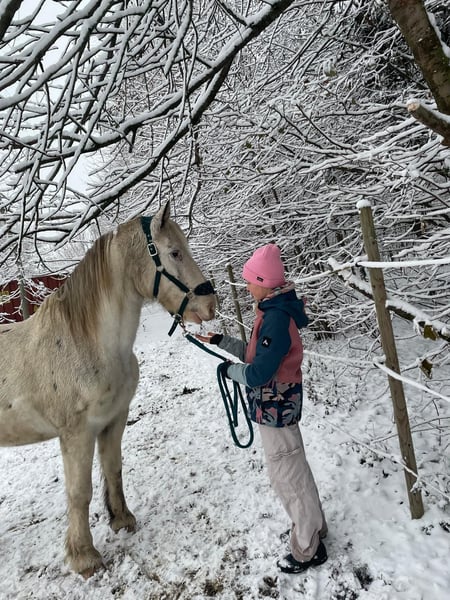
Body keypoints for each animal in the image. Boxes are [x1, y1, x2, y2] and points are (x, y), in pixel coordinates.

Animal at [0, 202, 216, 577]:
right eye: (174, 252)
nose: (210, 304)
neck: (89, 344)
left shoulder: (114, 420)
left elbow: (113, 469)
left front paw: (123, 520)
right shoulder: (77, 434)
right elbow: (79, 492)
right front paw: (84, 557)